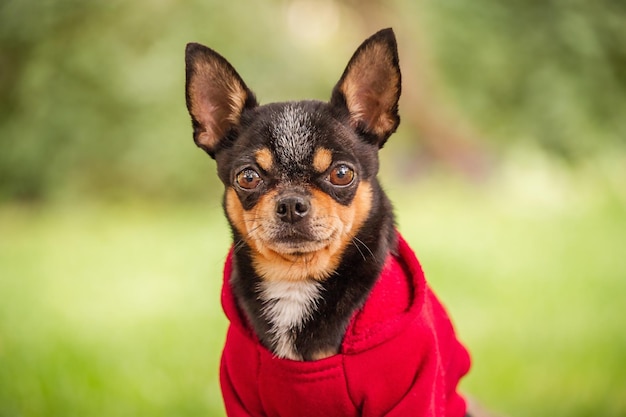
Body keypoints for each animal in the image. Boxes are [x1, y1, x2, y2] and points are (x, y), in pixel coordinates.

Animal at [183, 27, 470, 414]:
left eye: (342, 173)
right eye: (248, 177)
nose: (291, 204)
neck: (296, 280)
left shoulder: (413, 391)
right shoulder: (242, 395)